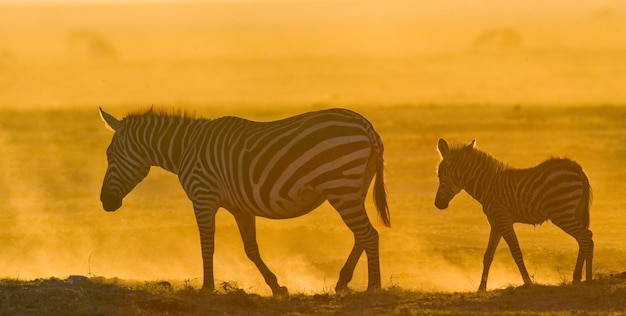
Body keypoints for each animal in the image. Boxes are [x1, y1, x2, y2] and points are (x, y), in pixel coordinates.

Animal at [98, 107, 388, 296]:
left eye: (109, 154)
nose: (104, 202)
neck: (185, 149)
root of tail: (366, 125)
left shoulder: (203, 197)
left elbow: (207, 245)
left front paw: (207, 288)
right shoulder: (240, 207)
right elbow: (251, 249)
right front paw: (277, 287)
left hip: (341, 186)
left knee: (368, 234)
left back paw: (373, 287)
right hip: (354, 188)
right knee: (361, 235)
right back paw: (343, 282)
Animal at [432, 138, 592, 292]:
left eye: (440, 175)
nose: (438, 204)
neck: (487, 186)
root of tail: (578, 169)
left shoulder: (504, 221)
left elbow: (516, 252)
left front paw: (528, 282)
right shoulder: (495, 224)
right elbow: (488, 256)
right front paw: (481, 287)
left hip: (562, 214)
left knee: (585, 237)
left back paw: (577, 277)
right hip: (573, 212)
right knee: (587, 238)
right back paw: (588, 278)